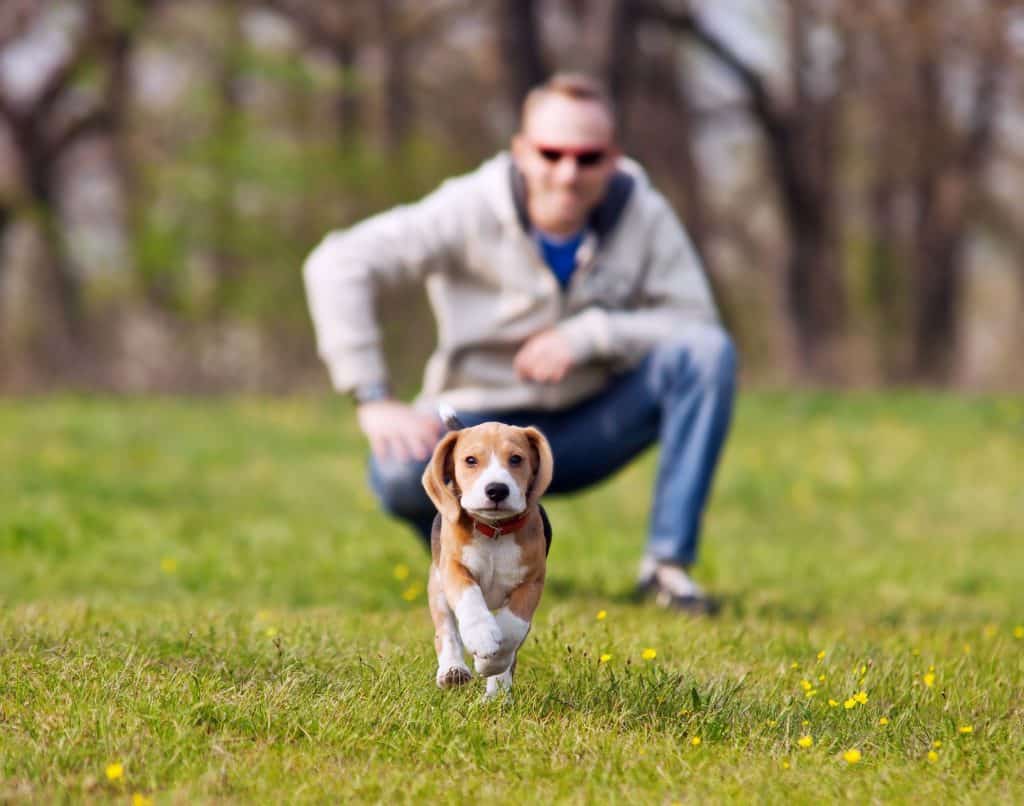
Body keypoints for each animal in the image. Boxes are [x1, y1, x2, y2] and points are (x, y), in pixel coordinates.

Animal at [421, 409, 557, 700]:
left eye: (516, 459)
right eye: (470, 460)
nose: (497, 489)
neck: (495, 531)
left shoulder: (531, 582)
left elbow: (513, 626)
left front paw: (491, 663)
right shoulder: (453, 568)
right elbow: (469, 599)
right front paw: (482, 635)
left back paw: (497, 694)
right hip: (437, 587)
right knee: (446, 631)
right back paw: (452, 670)